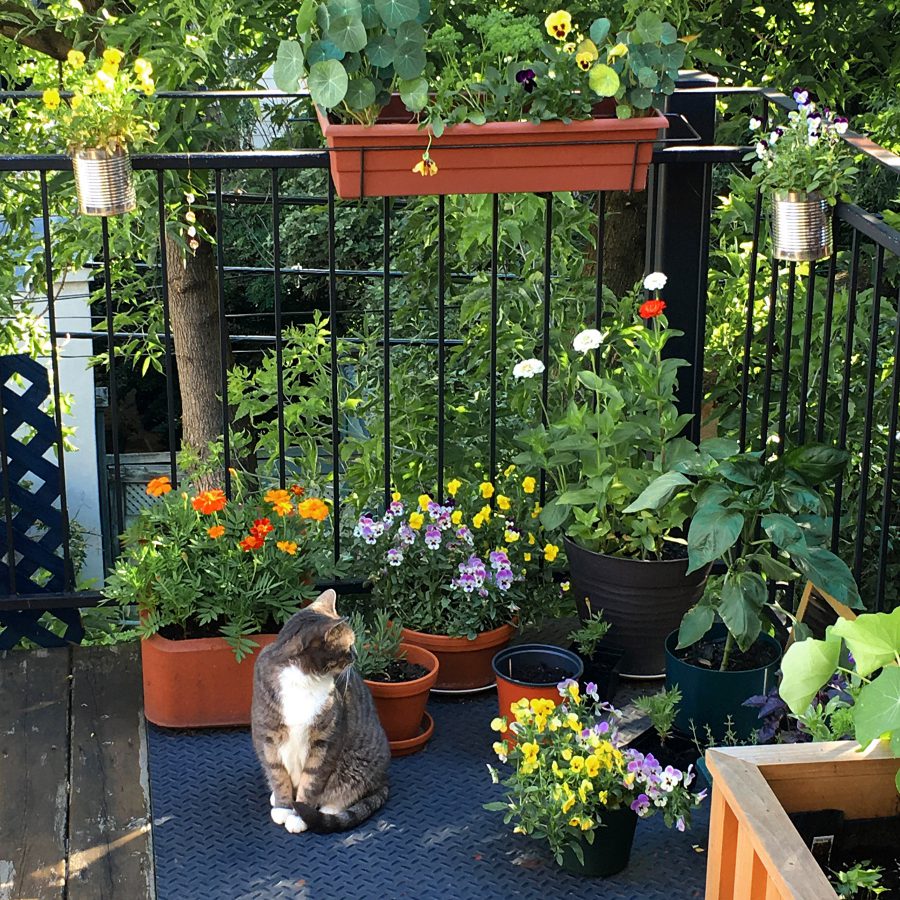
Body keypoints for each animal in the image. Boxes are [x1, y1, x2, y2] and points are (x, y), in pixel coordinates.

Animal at [250, 592, 390, 836]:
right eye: (350, 645)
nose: (356, 654)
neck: (302, 678)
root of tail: (383, 780)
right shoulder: (267, 737)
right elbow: (277, 775)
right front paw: (283, 807)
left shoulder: (324, 742)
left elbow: (311, 783)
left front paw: (299, 816)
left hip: (357, 765)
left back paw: (329, 809)